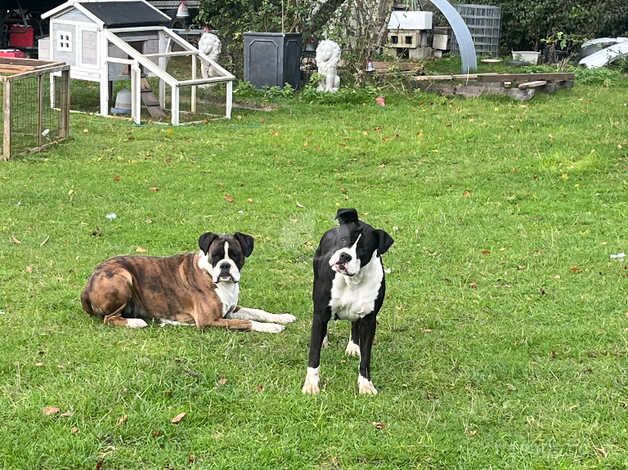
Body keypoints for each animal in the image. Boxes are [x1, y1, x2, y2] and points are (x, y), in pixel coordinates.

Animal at [81, 233, 296, 332]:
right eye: (215, 256)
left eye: (236, 255)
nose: (225, 266)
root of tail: (88, 282)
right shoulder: (209, 320)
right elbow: (248, 322)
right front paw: (272, 328)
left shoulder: (231, 310)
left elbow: (258, 312)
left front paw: (282, 317)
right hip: (122, 276)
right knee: (109, 318)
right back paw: (136, 322)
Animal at [302, 207, 394, 394]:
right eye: (343, 239)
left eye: (363, 249)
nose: (345, 256)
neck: (353, 280)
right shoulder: (321, 312)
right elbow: (314, 354)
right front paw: (311, 384)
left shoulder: (369, 320)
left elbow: (366, 357)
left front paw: (366, 384)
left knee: (354, 323)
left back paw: (353, 346)